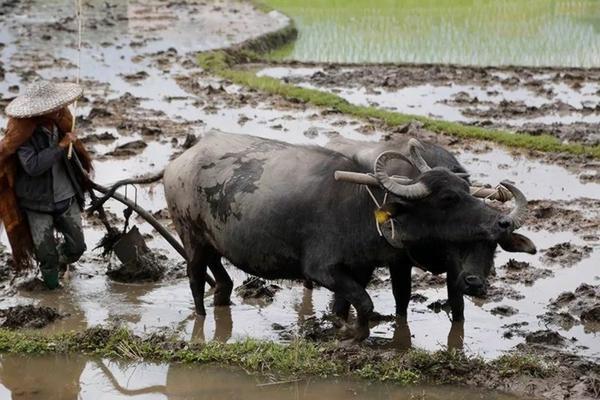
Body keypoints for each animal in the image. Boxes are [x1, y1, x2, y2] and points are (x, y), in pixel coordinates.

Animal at [163, 131, 536, 340]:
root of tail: (179, 162)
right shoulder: (321, 269)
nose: (500, 222)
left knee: (222, 278)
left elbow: (350, 304)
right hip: (189, 236)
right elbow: (366, 303)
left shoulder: (362, 267)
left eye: (464, 188)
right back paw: (200, 320)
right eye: (447, 198)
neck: (362, 209)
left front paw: (341, 328)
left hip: (211, 240)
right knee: (195, 279)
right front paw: (356, 333)